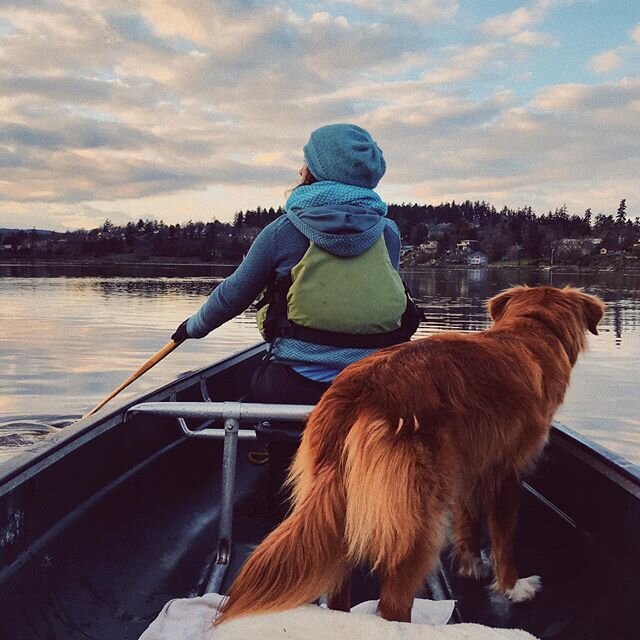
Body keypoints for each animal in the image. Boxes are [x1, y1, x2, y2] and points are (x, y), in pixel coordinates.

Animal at [216, 286, 604, 624]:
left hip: (338, 505)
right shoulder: (507, 469)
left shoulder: (471, 466)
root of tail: (360, 390)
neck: (530, 331)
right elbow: (503, 536)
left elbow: (468, 520)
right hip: (420, 514)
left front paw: (471, 564)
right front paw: (514, 587)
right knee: (393, 604)